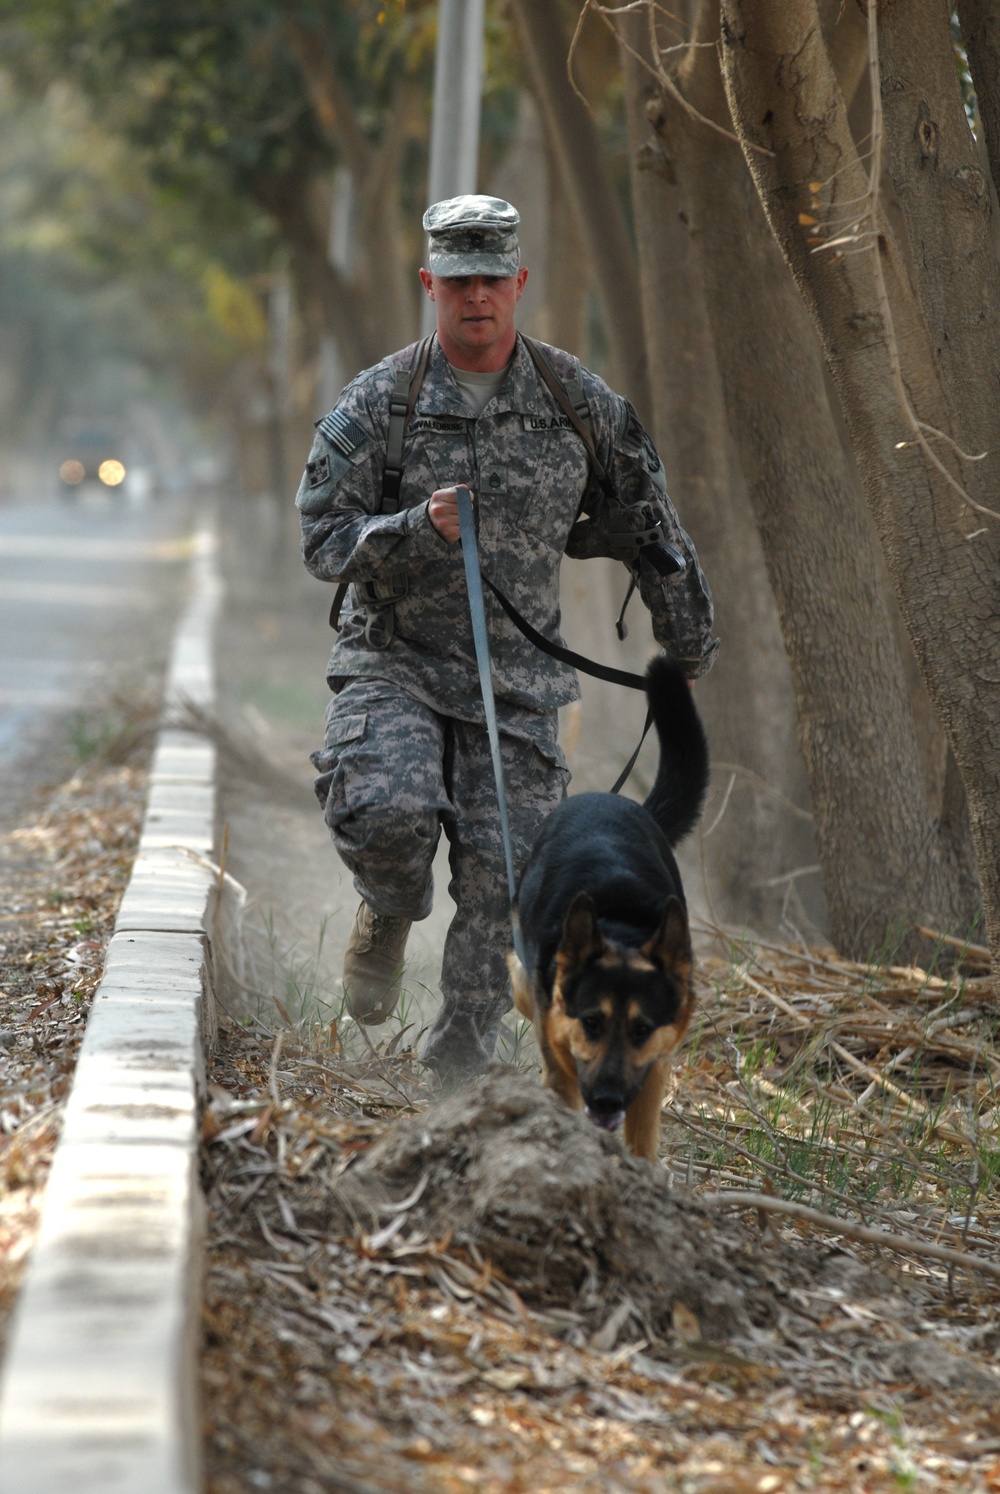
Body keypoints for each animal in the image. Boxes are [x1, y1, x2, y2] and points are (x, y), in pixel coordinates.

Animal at [508, 660, 708, 1159]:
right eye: (592, 1022)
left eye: (641, 1029)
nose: (607, 1100)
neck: (620, 930)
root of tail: (613, 798)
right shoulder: (562, 1056)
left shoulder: (654, 1065)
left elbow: (643, 1137)